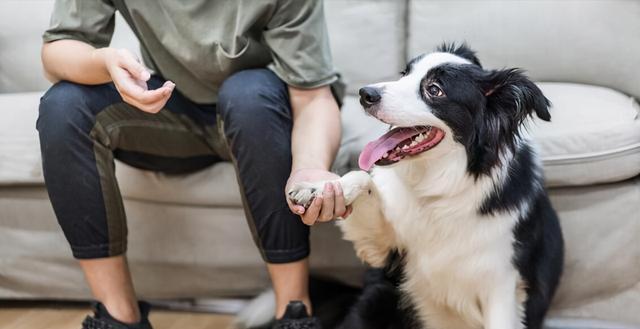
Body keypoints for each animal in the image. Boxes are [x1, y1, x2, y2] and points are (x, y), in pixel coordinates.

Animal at [290, 44, 564, 328]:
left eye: (434, 90)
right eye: (404, 73)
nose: (365, 94)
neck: (437, 189)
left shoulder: (502, 286)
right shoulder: (386, 250)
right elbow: (362, 178)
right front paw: (320, 188)